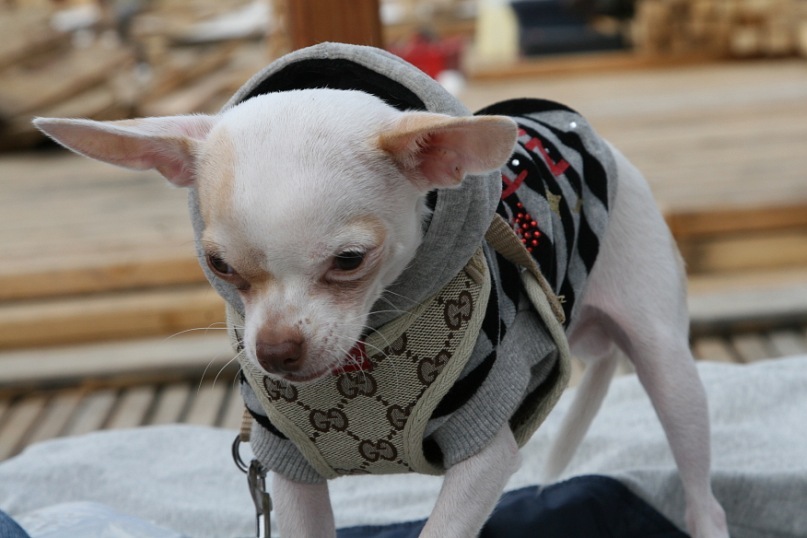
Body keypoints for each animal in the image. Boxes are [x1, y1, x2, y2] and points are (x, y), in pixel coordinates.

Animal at [34, 66, 728, 537]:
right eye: (219, 267)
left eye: (349, 261)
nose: (276, 351)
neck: (369, 355)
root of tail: (566, 120)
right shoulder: (288, 466)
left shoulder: (487, 447)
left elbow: (443, 527)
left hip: (667, 362)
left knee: (701, 486)